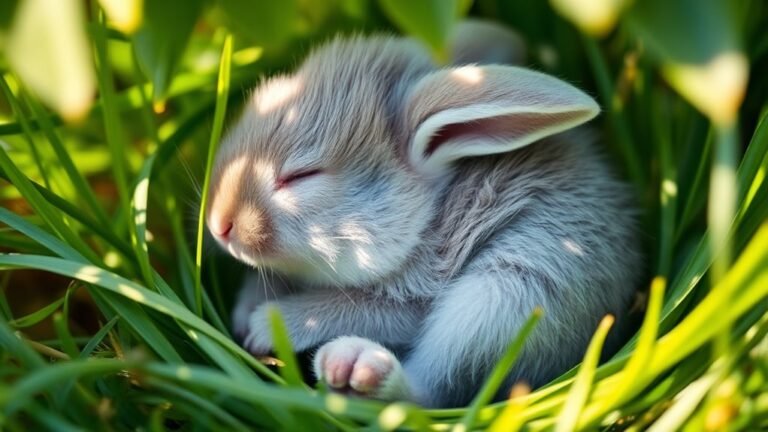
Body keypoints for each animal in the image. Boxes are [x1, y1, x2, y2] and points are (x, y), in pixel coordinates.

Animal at [206, 20, 642, 408]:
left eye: (301, 176)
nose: (219, 225)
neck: (428, 215)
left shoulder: (416, 297)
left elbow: (351, 309)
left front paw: (266, 325)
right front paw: (244, 314)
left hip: (505, 299)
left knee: (433, 391)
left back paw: (355, 368)